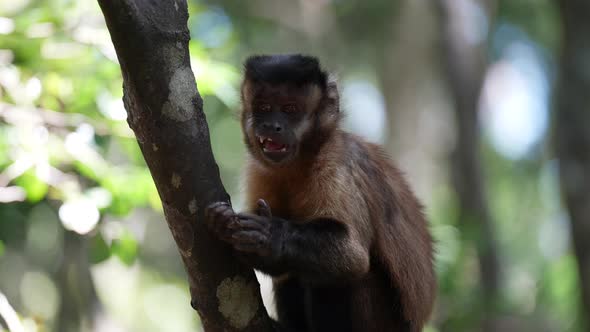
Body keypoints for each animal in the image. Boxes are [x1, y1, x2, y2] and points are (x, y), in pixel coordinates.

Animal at [206, 54, 438, 332]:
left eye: (290, 109)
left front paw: (270, 234)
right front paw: (224, 225)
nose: (272, 125)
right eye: (264, 107)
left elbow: (352, 255)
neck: (300, 162)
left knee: (337, 277)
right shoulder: (258, 168)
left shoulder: (337, 161)